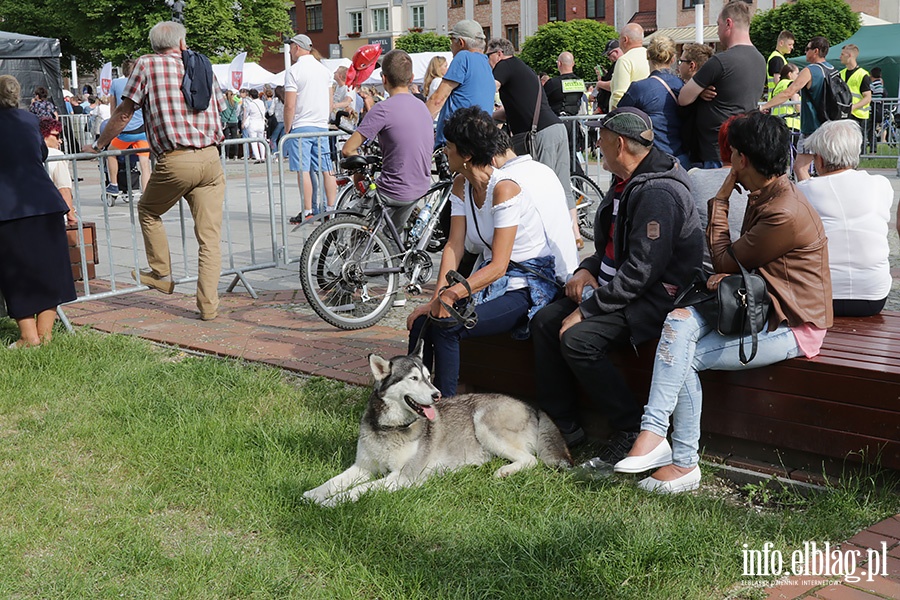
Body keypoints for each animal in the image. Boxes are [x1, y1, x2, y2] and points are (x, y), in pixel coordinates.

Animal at [302, 342, 568, 506]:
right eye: (414, 378)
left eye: (429, 377)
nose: (437, 394)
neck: (391, 428)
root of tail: (532, 406)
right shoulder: (363, 467)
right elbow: (332, 482)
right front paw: (312, 494)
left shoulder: (402, 477)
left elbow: (359, 489)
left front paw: (332, 502)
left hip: (483, 422)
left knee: (530, 460)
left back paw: (505, 471)